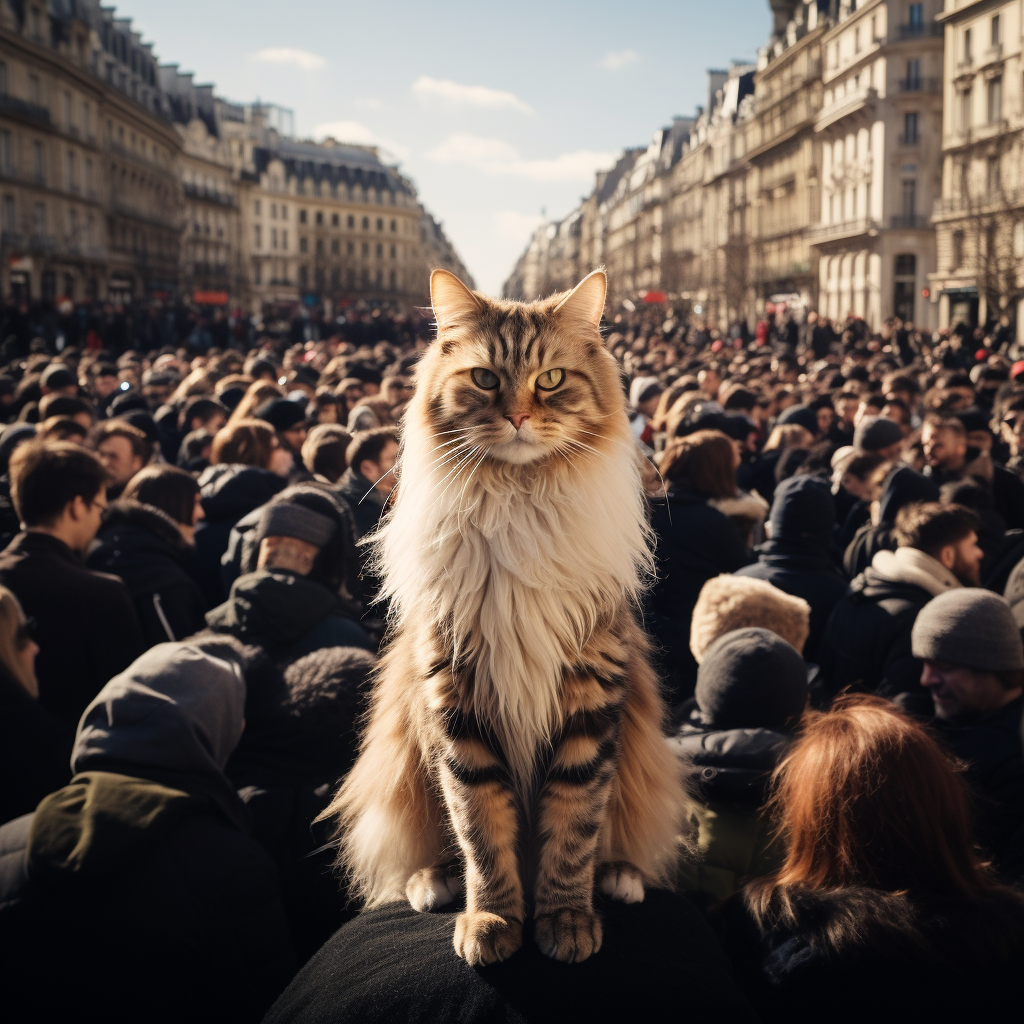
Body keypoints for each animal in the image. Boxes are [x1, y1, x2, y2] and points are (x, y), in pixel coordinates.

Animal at [327, 268, 692, 962]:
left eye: (550, 379)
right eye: (485, 379)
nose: (520, 416)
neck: (519, 502)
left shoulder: (591, 695)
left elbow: (573, 827)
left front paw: (567, 921)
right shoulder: (455, 695)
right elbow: (480, 829)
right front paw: (492, 921)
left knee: (619, 836)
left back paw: (621, 878)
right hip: (404, 755)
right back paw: (433, 883)